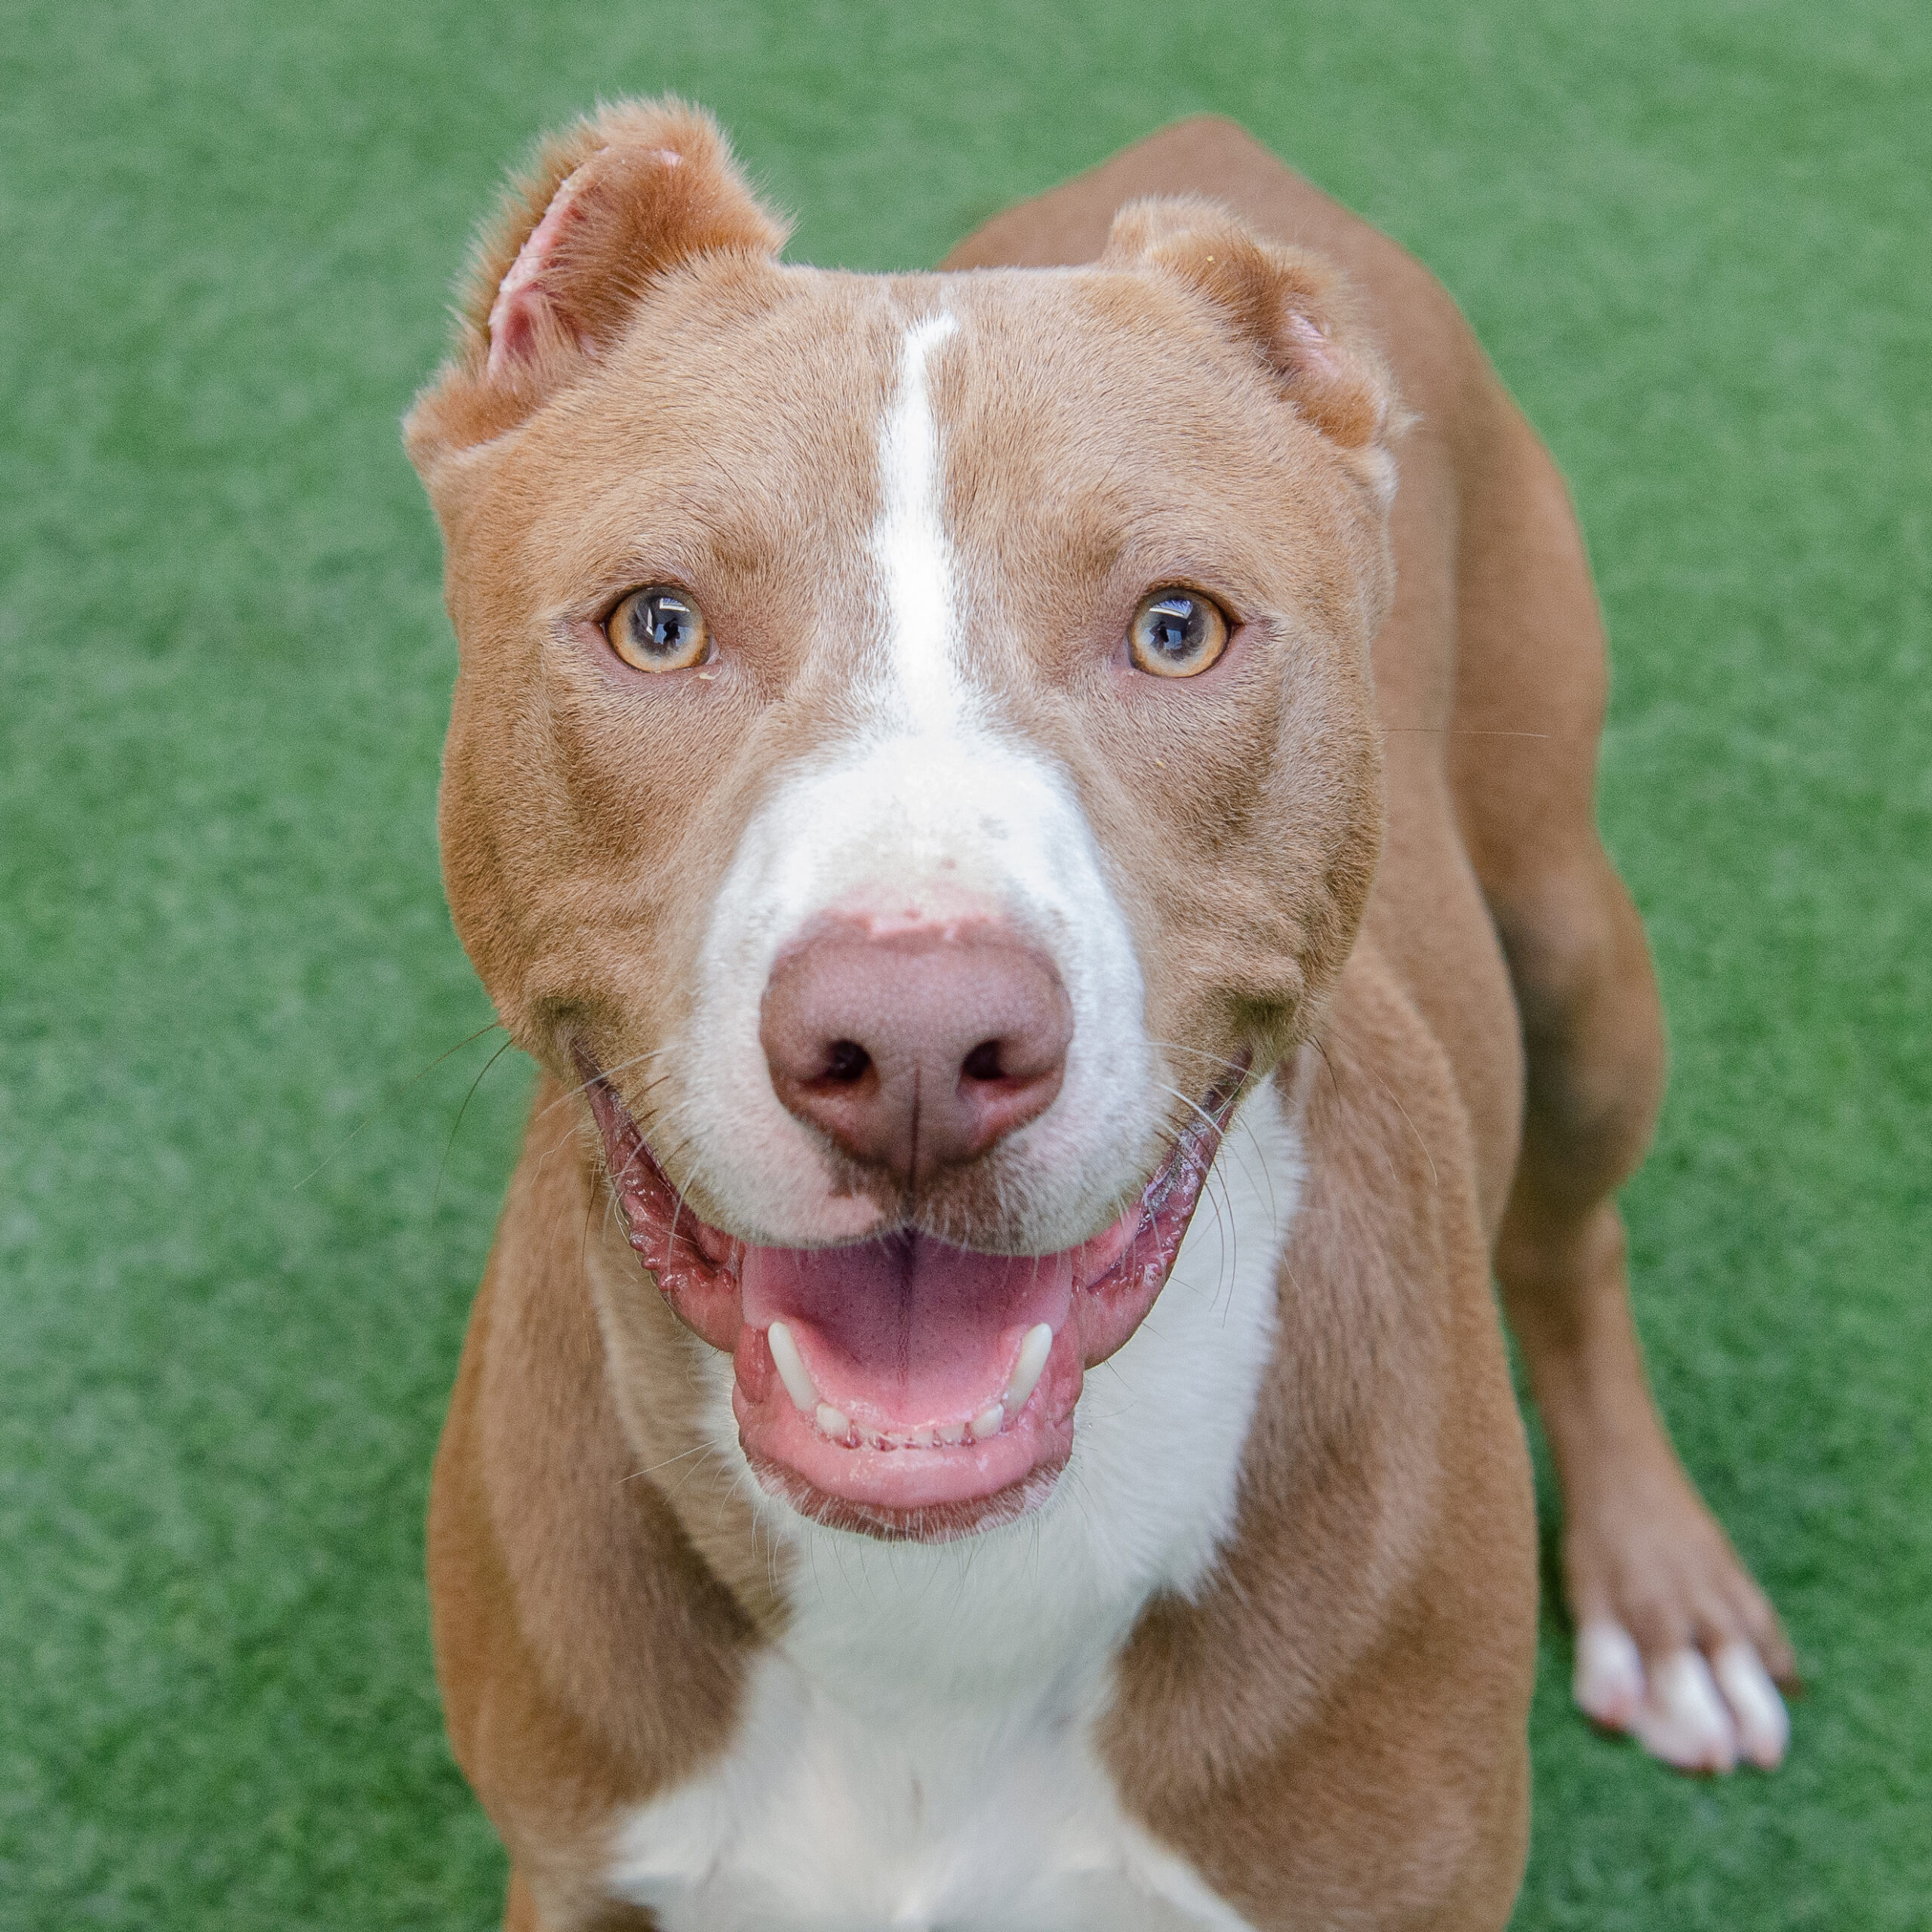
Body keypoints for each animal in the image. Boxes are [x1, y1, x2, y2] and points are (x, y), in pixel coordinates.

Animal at [404, 102, 1792, 1932]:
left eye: (1175, 629)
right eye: (658, 622)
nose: (916, 1049)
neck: (940, 1607)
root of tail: (1222, 143)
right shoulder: (577, 1867)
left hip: (1575, 953)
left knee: (1573, 1245)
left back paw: (1665, 1592)